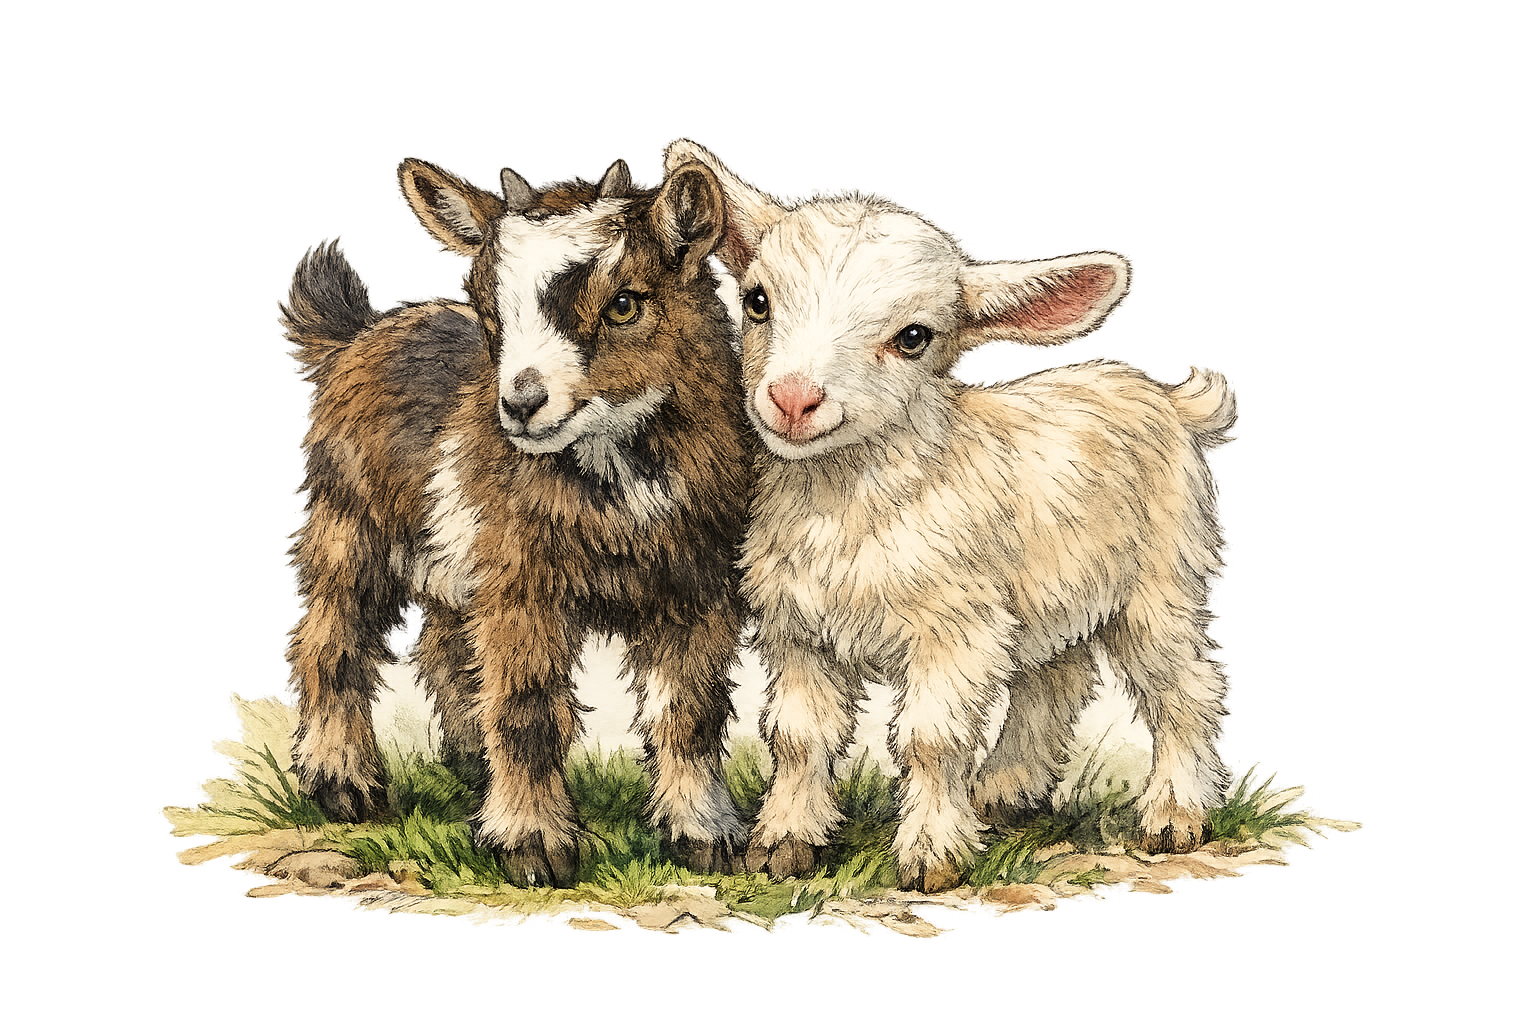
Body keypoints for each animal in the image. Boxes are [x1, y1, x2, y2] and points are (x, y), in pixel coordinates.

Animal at [282, 155, 753, 885]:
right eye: (489, 309)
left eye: (625, 303)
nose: (523, 403)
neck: (617, 484)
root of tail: (359, 334)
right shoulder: (522, 582)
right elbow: (528, 707)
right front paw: (532, 843)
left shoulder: (696, 588)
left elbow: (690, 710)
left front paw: (704, 832)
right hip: (352, 522)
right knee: (332, 637)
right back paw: (341, 779)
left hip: (450, 556)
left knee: (445, 649)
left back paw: (472, 765)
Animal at [664, 139, 1237, 892]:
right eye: (756, 300)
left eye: (914, 337)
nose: (792, 399)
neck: (849, 506)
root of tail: (1160, 394)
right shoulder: (798, 628)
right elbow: (797, 735)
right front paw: (784, 841)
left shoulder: (954, 625)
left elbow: (931, 739)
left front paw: (931, 854)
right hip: (1049, 590)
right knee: (1054, 679)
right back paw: (1006, 791)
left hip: (1158, 579)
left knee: (1180, 688)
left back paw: (1174, 813)